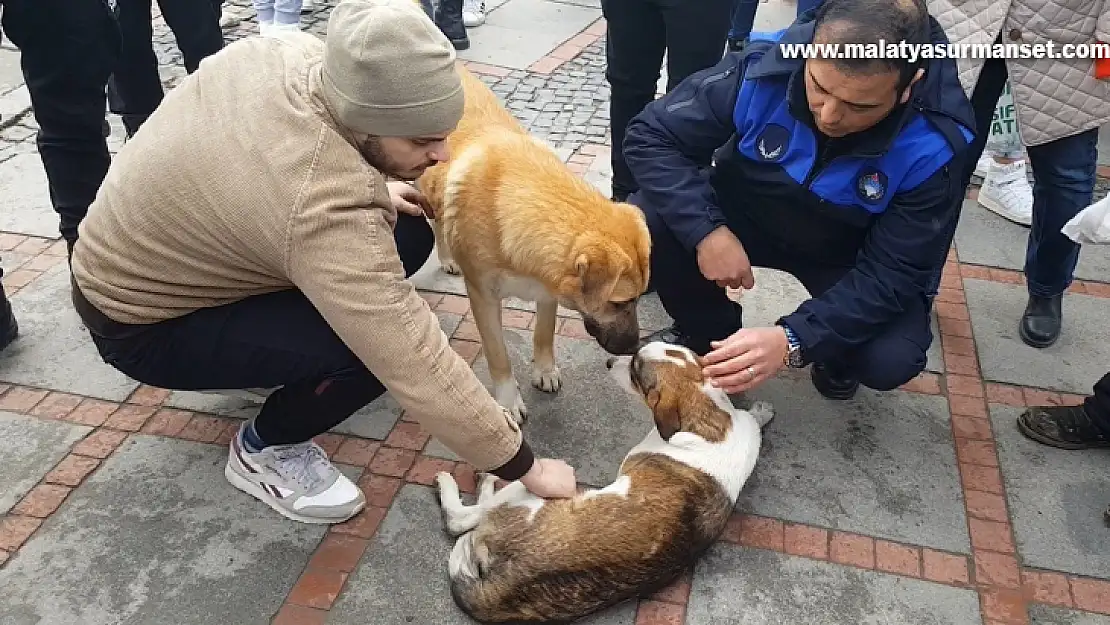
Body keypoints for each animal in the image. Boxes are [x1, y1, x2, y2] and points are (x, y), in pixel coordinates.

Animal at [415, 66, 648, 424]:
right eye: (619, 303)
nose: (634, 348)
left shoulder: (548, 290)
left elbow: (544, 331)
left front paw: (544, 370)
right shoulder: (483, 298)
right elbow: (498, 355)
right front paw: (508, 400)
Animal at [432, 341, 772, 625]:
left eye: (634, 369)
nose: (608, 361)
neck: (706, 412)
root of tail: (507, 585)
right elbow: (751, 419)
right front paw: (761, 411)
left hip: (536, 493)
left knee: (461, 520)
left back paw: (470, 482)